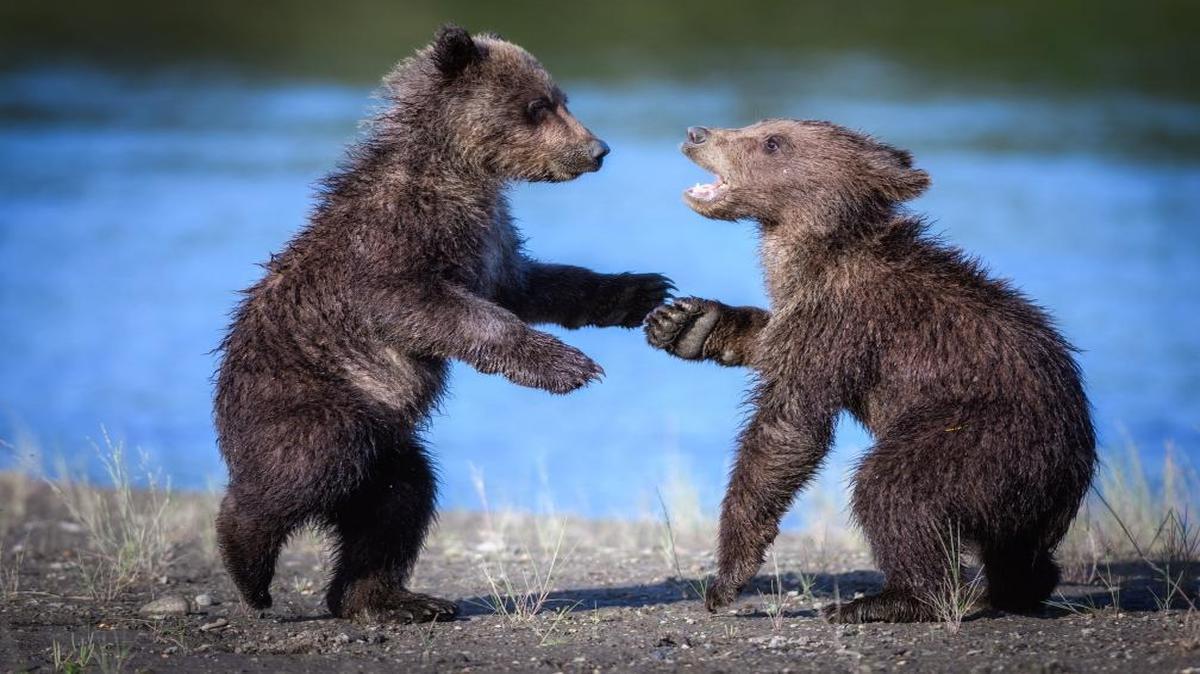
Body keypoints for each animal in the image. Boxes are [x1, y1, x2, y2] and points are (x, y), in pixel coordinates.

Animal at [213, 25, 672, 623]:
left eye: (562, 99)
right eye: (537, 105)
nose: (597, 150)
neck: (457, 171)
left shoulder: (491, 239)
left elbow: (531, 285)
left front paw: (641, 289)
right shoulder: (394, 241)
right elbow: (435, 307)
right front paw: (567, 366)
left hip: (388, 449)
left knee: (398, 505)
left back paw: (393, 598)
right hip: (315, 402)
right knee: (301, 473)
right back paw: (249, 566)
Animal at [645, 120, 1096, 623]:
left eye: (772, 141)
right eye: (759, 128)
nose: (697, 133)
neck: (813, 255)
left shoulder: (844, 320)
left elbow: (789, 428)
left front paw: (727, 578)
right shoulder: (804, 313)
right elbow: (771, 341)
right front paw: (688, 323)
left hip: (986, 438)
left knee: (894, 488)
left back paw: (888, 600)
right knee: (1017, 547)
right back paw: (1014, 588)